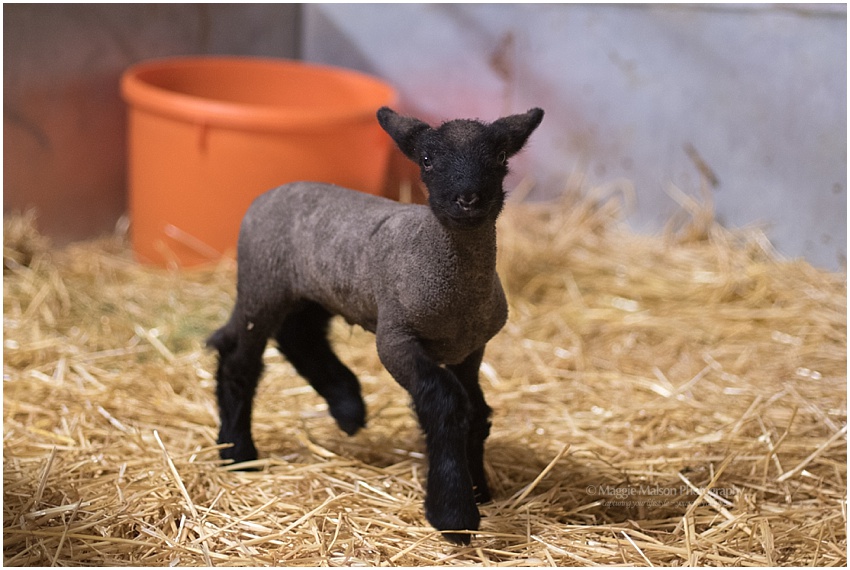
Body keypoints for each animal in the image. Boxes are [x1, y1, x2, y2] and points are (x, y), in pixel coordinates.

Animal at [207, 106, 544, 544]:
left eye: (501, 156)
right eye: (427, 159)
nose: (469, 199)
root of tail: (272, 192)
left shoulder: (470, 350)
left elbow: (476, 411)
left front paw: (479, 490)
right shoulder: (396, 340)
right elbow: (445, 402)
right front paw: (453, 513)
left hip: (318, 290)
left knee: (300, 336)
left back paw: (347, 407)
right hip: (262, 286)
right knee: (239, 359)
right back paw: (237, 452)